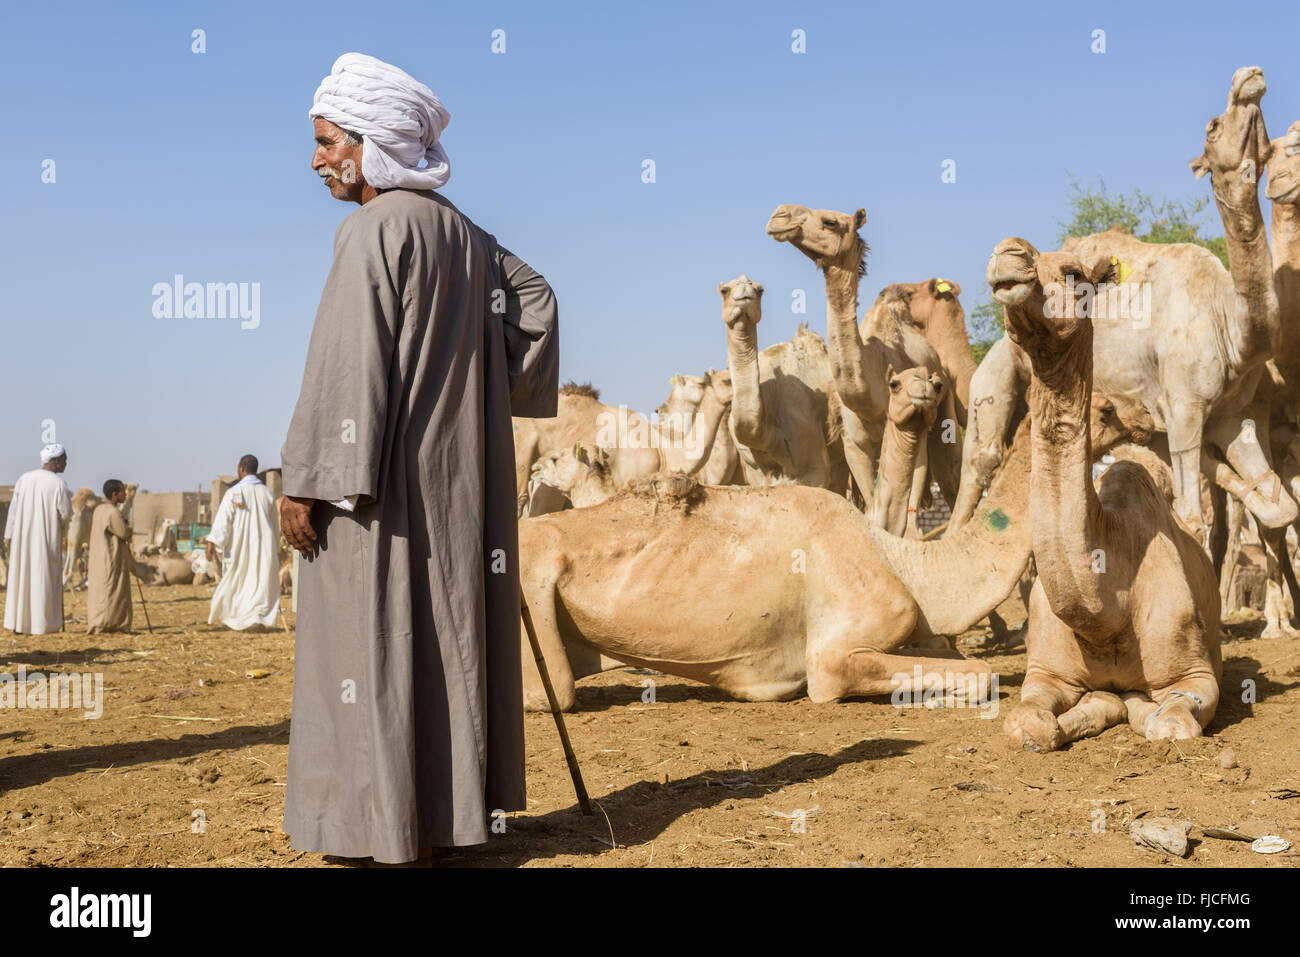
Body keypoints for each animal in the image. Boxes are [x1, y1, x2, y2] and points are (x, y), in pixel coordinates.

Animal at [764, 206, 961, 512]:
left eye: (830, 222)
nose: (779, 214)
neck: (871, 394)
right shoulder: (854, 444)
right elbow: (871, 502)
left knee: (952, 480)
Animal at [987, 235, 1222, 748]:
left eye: (1073, 273)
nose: (1008, 252)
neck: (1105, 615)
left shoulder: (1194, 675)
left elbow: (1170, 723)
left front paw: (1140, 710)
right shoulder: (1043, 672)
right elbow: (1025, 723)